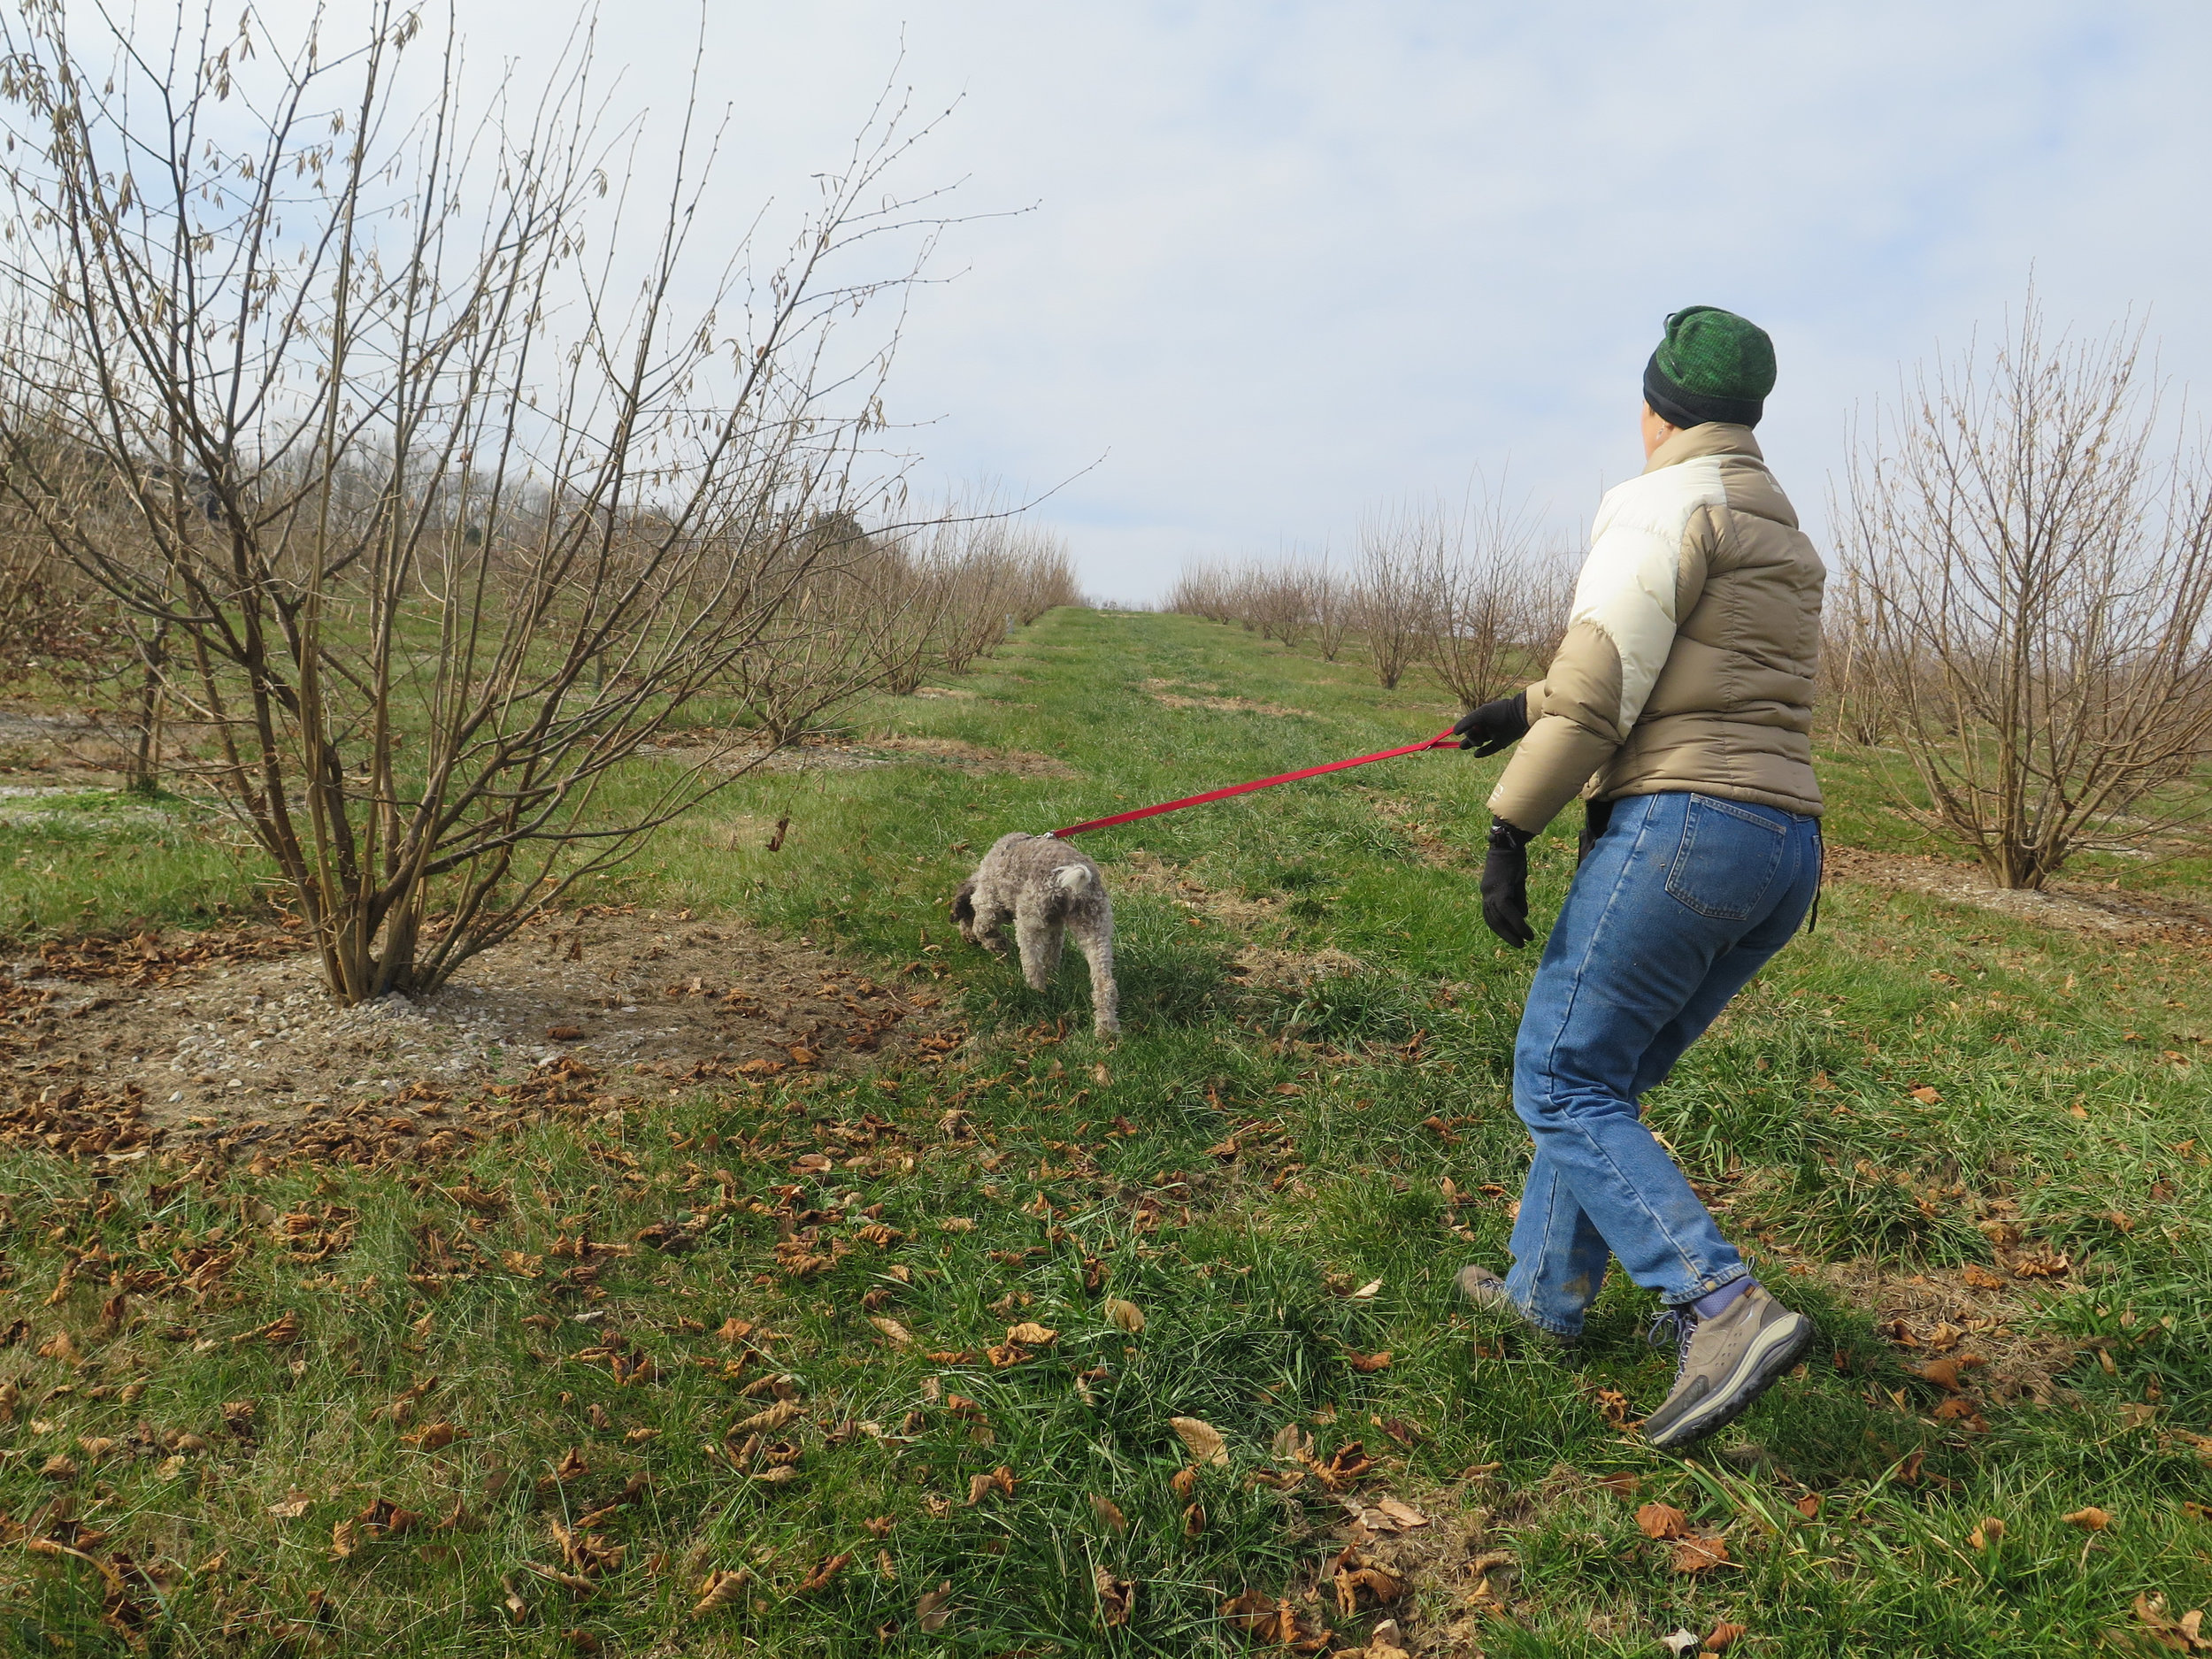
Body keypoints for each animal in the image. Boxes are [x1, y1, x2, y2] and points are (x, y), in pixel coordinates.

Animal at [951, 832, 1124, 1040]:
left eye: (963, 916)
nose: (966, 939)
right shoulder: (1055, 928)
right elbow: (1052, 954)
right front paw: (1054, 974)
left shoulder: (987, 903)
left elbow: (983, 928)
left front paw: (996, 943)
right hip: (1095, 927)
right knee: (1105, 984)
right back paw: (1106, 1029)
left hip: (1028, 924)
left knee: (1033, 968)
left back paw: (1036, 994)